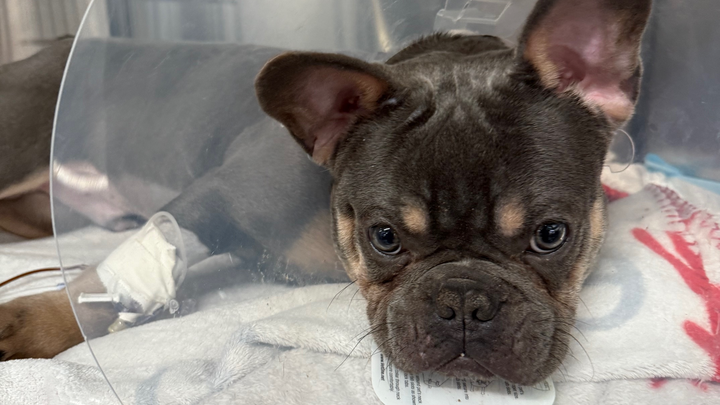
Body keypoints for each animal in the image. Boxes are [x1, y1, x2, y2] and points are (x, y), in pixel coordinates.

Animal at [0, 0, 651, 386]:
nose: (464, 303)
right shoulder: (210, 199)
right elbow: (108, 281)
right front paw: (34, 321)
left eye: (552, 234)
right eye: (383, 237)